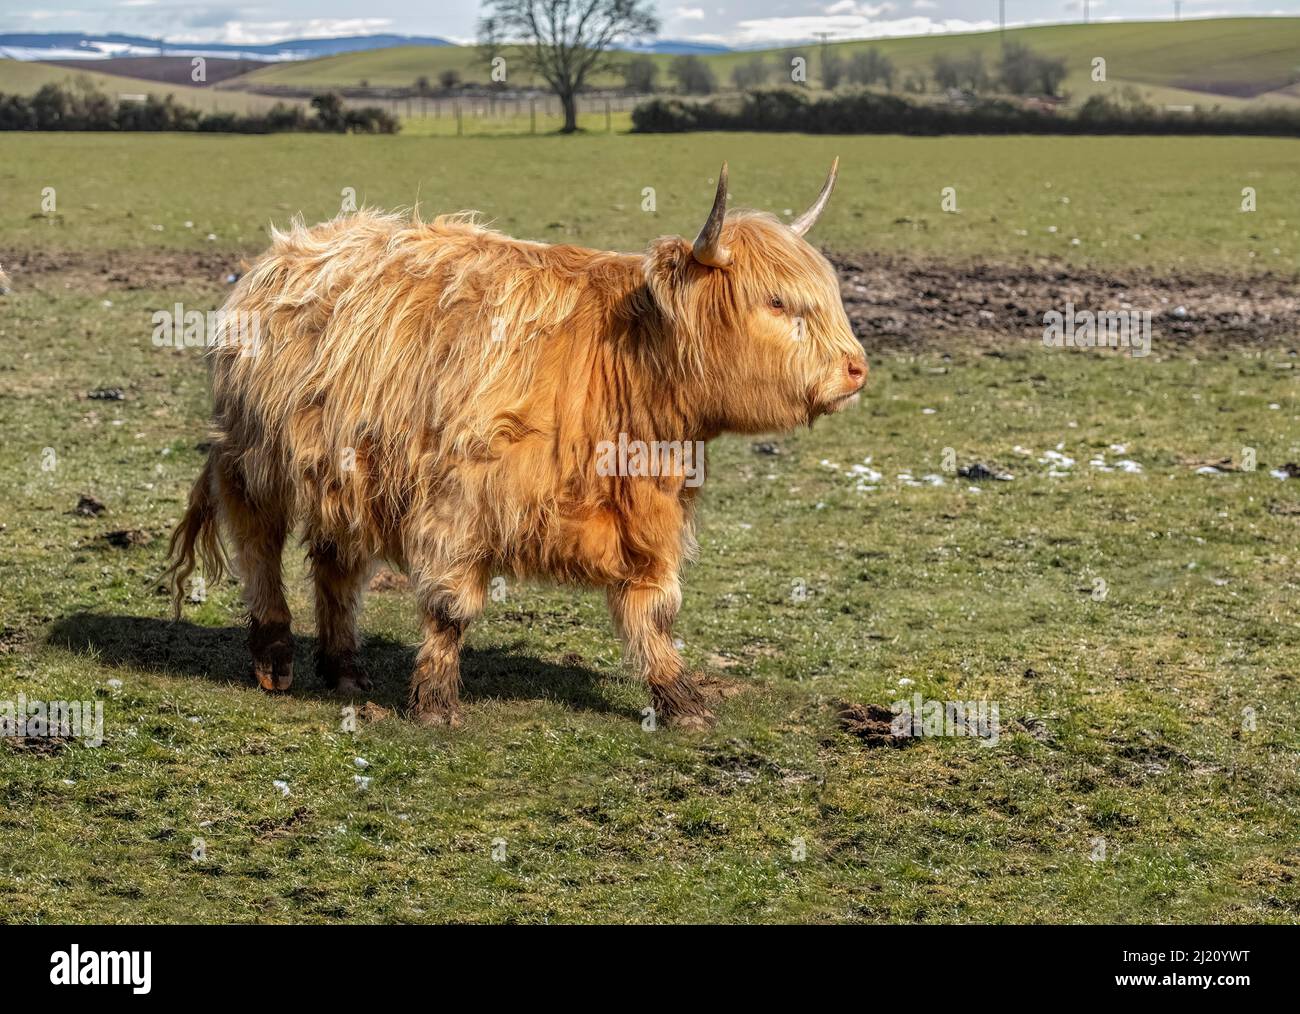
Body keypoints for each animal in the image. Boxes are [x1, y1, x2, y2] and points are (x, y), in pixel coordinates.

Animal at [163, 160, 868, 730]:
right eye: (777, 302)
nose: (856, 368)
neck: (620, 368)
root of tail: (289, 249)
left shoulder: (646, 511)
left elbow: (654, 610)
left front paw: (681, 702)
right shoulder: (458, 501)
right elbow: (450, 607)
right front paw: (435, 704)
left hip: (348, 469)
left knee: (336, 566)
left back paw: (344, 670)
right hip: (253, 465)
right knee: (259, 551)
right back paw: (274, 659)